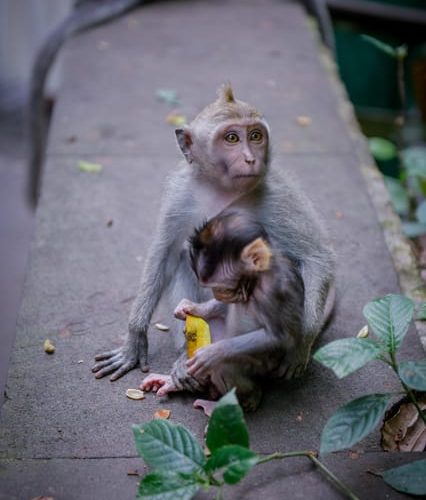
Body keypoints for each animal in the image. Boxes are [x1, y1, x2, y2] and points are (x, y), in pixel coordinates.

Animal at [91, 85, 334, 382]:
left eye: (255, 136)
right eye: (232, 138)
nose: (250, 158)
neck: (222, 190)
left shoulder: (277, 196)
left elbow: (316, 258)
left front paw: (300, 343)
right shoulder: (180, 195)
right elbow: (164, 254)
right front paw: (134, 338)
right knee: (182, 259)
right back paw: (185, 356)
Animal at [142, 209, 306, 412]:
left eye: (222, 287)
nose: (216, 294)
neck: (258, 280)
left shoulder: (275, 288)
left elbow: (278, 337)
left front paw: (212, 353)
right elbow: (224, 308)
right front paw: (189, 307)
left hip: (261, 369)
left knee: (225, 366)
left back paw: (240, 400)